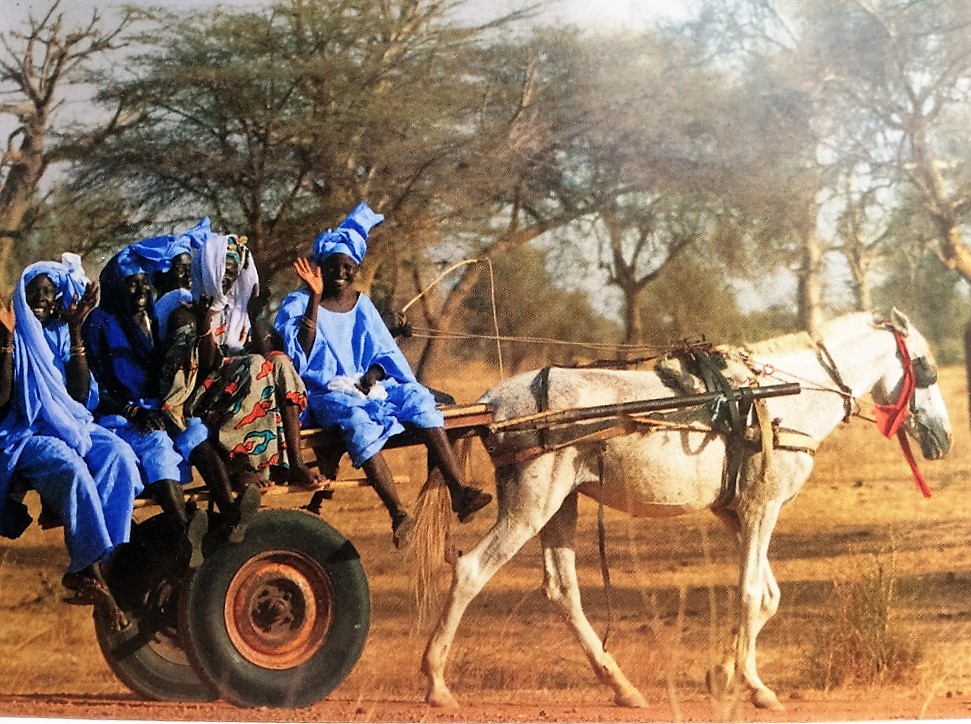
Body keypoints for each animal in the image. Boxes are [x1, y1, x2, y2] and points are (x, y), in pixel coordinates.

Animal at [422, 308, 952, 708]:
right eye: (925, 367)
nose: (943, 438)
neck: (785, 399)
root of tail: (495, 401)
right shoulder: (761, 507)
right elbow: (750, 593)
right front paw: (756, 687)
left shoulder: (736, 513)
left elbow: (769, 596)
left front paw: (723, 674)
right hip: (531, 504)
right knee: (470, 570)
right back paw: (436, 683)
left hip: (560, 503)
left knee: (561, 591)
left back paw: (621, 686)